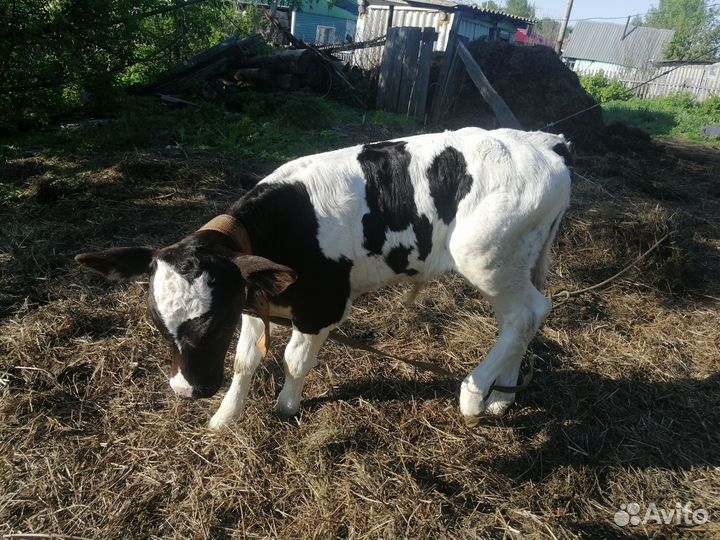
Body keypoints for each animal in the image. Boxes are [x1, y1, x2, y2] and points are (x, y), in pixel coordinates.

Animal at [75, 127, 572, 429]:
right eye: (159, 326)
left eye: (213, 324)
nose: (186, 390)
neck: (284, 227)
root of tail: (545, 142)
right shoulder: (254, 296)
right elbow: (245, 361)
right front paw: (225, 418)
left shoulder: (323, 305)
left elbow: (294, 360)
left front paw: (286, 407)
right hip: (516, 263)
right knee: (524, 319)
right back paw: (502, 397)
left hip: (486, 259)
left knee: (526, 314)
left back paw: (474, 395)